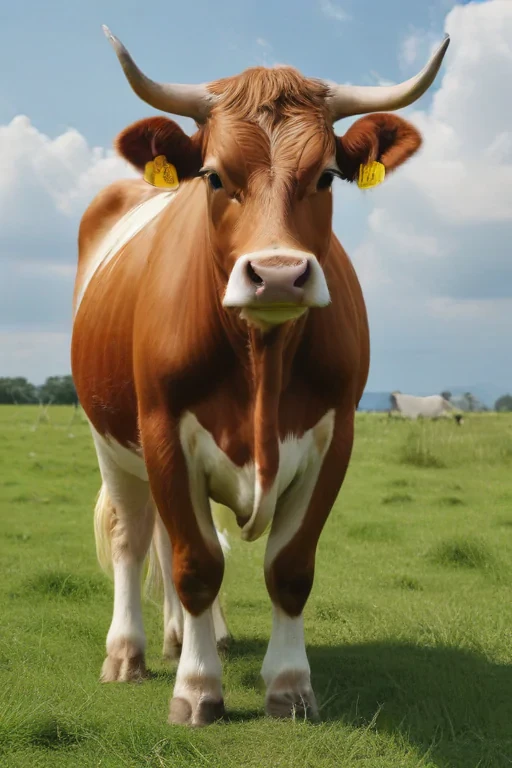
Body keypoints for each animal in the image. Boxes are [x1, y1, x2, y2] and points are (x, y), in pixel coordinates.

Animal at [71, 26, 449, 726]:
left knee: (167, 541)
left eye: (326, 175)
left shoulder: (335, 437)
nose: (277, 275)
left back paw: (184, 637)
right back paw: (130, 653)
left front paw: (289, 684)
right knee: (135, 539)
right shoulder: (162, 430)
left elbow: (288, 567)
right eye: (215, 176)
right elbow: (196, 563)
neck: (260, 359)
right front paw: (198, 689)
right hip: (111, 439)